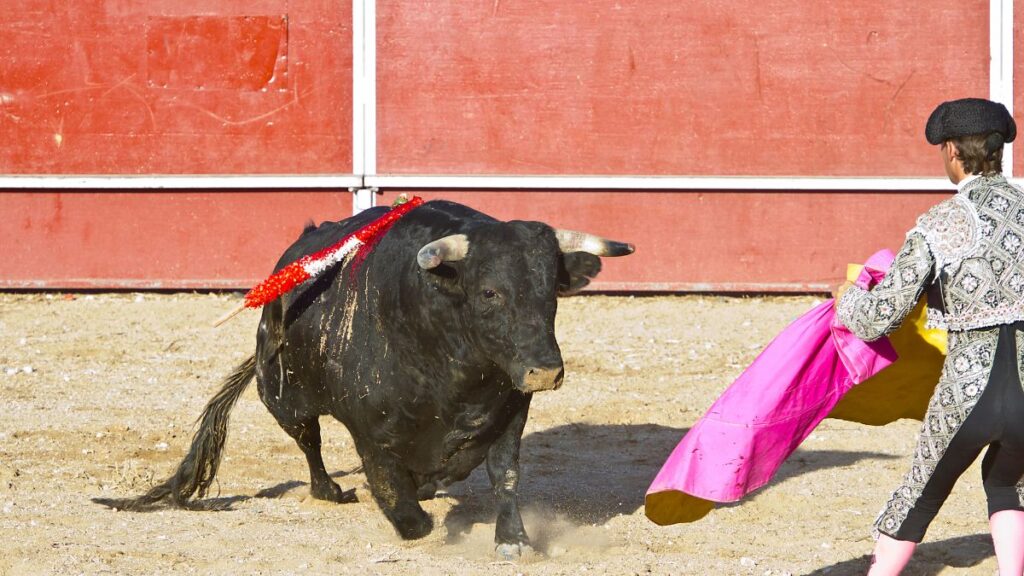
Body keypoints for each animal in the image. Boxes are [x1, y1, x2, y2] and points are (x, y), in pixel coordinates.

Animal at [99, 200, 634, 557]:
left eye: (552, 292)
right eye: (489, 292)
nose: (544, 371)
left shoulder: (509, 411)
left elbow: (504, 474)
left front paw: (514, 540)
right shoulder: (372, 433)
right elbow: (398, 499)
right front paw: (417, 519)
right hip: (283, 399)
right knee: (310, 443)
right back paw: (330, 491)